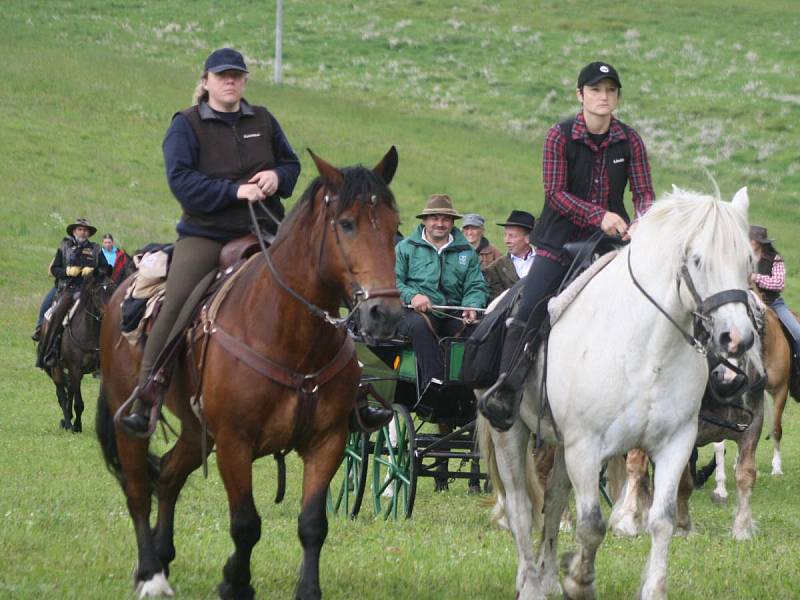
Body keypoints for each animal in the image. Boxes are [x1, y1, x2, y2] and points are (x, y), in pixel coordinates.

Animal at [97, 149, 404, 600]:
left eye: (395, 227)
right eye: (347, 223)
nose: (386, 314)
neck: (290, 336)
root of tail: (119, 292)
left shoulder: (327, 441)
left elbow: (313, 525)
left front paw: (307, 590)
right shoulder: (234, 443)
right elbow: (246, 524)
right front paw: (235, 582)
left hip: (196, 430)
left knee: (168, 475)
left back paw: (162, 557)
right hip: (132, 421)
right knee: (138, 490)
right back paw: (150, 573)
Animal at [482, 188, 756, 600]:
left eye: (748, 260)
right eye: (697, 259)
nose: (737, 338)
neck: (648, 349)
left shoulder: (675, 443)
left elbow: (662, 521)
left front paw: (652, 589)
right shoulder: (586, 446)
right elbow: (591, 525)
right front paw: (579, 581)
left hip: (559, 444)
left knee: (553, 500)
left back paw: (546, 578)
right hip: (511, 433)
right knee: (519, 507)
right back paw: (530, 584)